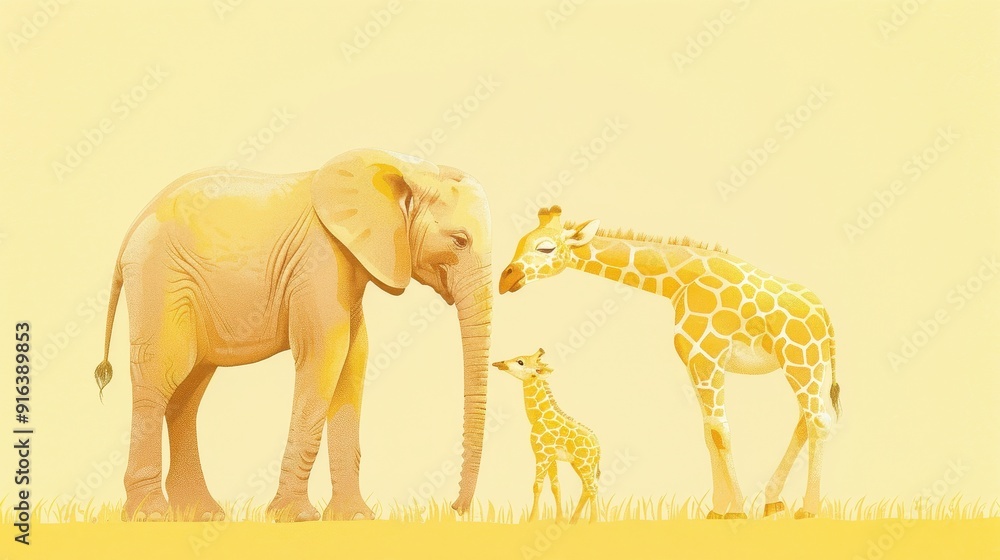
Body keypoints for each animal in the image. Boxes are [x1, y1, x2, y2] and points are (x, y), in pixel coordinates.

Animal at [92, 148, 493, 521]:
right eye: (459, 241)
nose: (456, 508)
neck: (407, 167)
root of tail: (134, 225)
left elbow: (353, 361)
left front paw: (355, 518)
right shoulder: (319, 261)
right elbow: (325, 356)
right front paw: (297, 517)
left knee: (187, 391)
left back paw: (201, 513)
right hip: (160, 281)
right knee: (161, 377)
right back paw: (150, 515)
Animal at [493, 348, 602, 523]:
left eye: (520, 361)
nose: (499, 363)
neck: (538, 416)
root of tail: (599, 449)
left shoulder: (541, 454)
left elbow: (537, 486)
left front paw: (531, 520)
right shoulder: (551, 457)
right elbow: (556, 486)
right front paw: (559, 520)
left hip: (585, 463)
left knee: (592, 487)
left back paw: (593, 522)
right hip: (579, 464)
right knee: (586, 487)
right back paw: (573, 521)